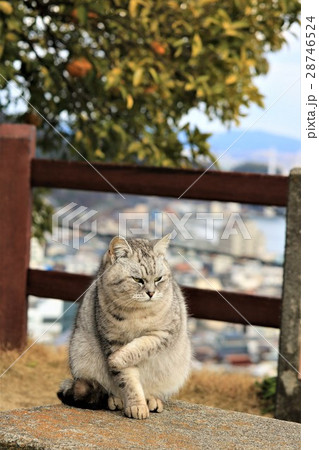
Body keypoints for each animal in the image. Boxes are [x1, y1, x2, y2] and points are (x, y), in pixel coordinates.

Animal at [57, 234, 192, 420]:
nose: (151, 293)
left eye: (158, 279)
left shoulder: (165, 333)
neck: (136, 312)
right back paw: (116, 399)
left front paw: (116, 359)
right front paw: (136, 406)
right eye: (137, 280)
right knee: (108, 390)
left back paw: (153, 399)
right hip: (80, 355)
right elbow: (128, 381)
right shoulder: (113, 340)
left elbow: (141, 345)